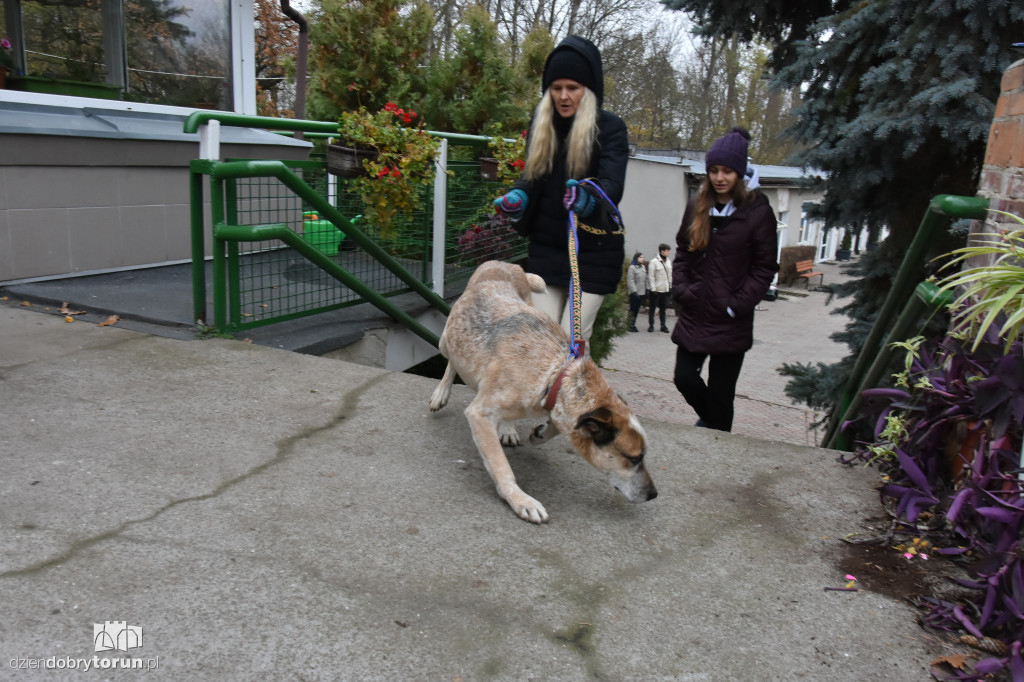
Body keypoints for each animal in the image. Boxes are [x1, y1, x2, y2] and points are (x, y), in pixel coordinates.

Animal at [430, 259, 655, 520]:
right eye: (634, 458)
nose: (654, 494)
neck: (556, 373)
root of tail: (503, 262)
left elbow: (557, 425)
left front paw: (538, 434)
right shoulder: (479, 414)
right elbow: (501, 466)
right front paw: (521, 500)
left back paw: (508, 428)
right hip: (446, 341)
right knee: (451, 362)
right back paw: (441, 394)